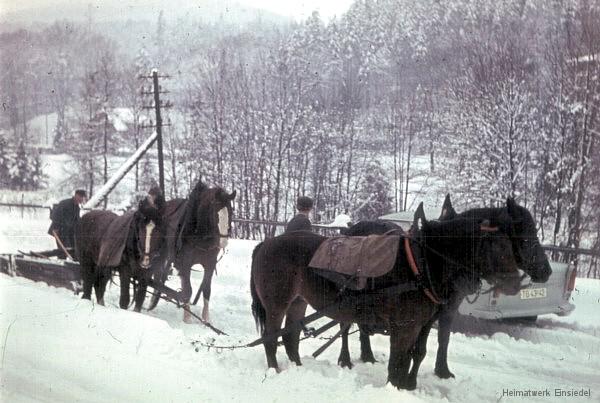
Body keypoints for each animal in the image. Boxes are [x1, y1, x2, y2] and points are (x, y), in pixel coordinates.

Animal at [146, 180, 236, 322]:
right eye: (215, 214)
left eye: (231, 212)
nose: (223, 242)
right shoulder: (185, 263)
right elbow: (188, 289)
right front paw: (187, 318)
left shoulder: (210, 264)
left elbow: (206, 289)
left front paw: (206, 319)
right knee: (158, 274)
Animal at [251, 207, 524, 390]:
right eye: (497, 246)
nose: (516, 282)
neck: (421, 264)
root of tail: (266, 244)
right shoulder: (403, 327)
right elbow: (397, 362)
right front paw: (396, 387)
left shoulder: (421, 324)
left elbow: (414, 355)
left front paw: (406, 386)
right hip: (276, 304)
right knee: (271, 338)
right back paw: (275, 370)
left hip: (298, 301)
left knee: (291, 337)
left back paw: (298, 368)